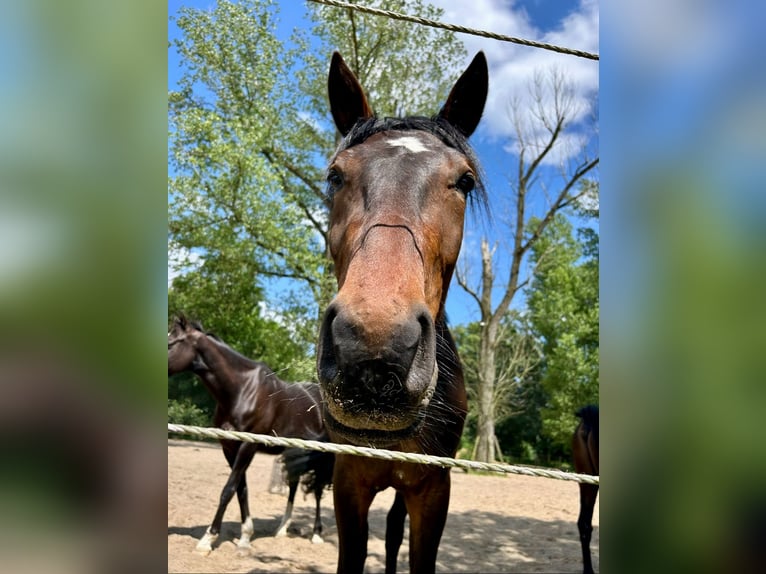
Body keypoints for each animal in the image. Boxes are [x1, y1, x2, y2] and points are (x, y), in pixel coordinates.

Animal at [166, 318, 334, 556]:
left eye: (171, 343)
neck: (243, 390)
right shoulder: (229, 448)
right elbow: (241, 490)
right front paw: (245, 537)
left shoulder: (247, 446)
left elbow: (228, 490)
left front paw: (208, 539)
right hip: (295, 452)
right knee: (293, 485)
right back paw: (282, 528)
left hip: (323, 455)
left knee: (318, 489)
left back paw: (316, 534)